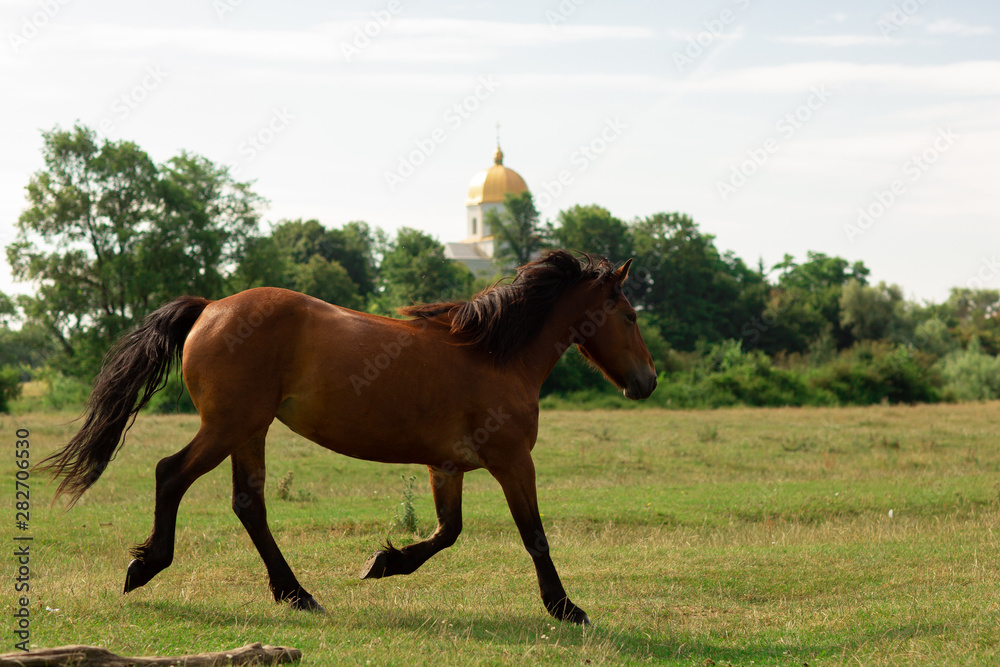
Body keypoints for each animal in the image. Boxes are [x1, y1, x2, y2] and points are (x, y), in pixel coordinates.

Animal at [40, 250, 657, 625]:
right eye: (629, 315)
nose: (647, 382)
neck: (494, 356)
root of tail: (210, 307)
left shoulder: (447, 467)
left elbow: (447, 532)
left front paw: (384, 563)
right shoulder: (512, 462)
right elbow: (534, 536)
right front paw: (567, 607)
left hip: (247, 431)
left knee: (248, 505)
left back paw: (295, 593)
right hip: (229, 427)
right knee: (172, 474)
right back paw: (147, 567)